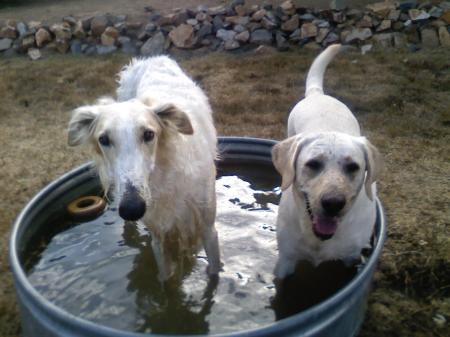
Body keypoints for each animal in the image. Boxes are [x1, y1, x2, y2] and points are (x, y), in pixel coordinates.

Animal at [67, 55, 221, 280]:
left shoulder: (208, 227)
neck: (168, 175)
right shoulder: (158, 236)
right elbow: (164, 279)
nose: (132, 208)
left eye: (149, 134)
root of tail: (153, 57)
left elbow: (214, 272)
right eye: (103, 139)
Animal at [272, 44, 382, 278]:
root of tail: (317, 93)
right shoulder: (285, 259)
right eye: (313, 164)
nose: (333, 203)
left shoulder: (352, 258)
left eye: (353, 167)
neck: (318, 240)